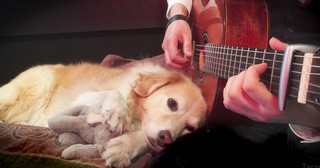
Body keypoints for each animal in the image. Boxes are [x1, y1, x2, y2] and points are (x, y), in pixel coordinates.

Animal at [0, 61, 208, 167]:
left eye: (190, 128)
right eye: (172, 103)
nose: (166, 139)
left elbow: (144, 139)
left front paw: (124, 148)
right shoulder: (81, 98)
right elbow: (113, 93)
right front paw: (118, 113)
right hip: (30, 90)